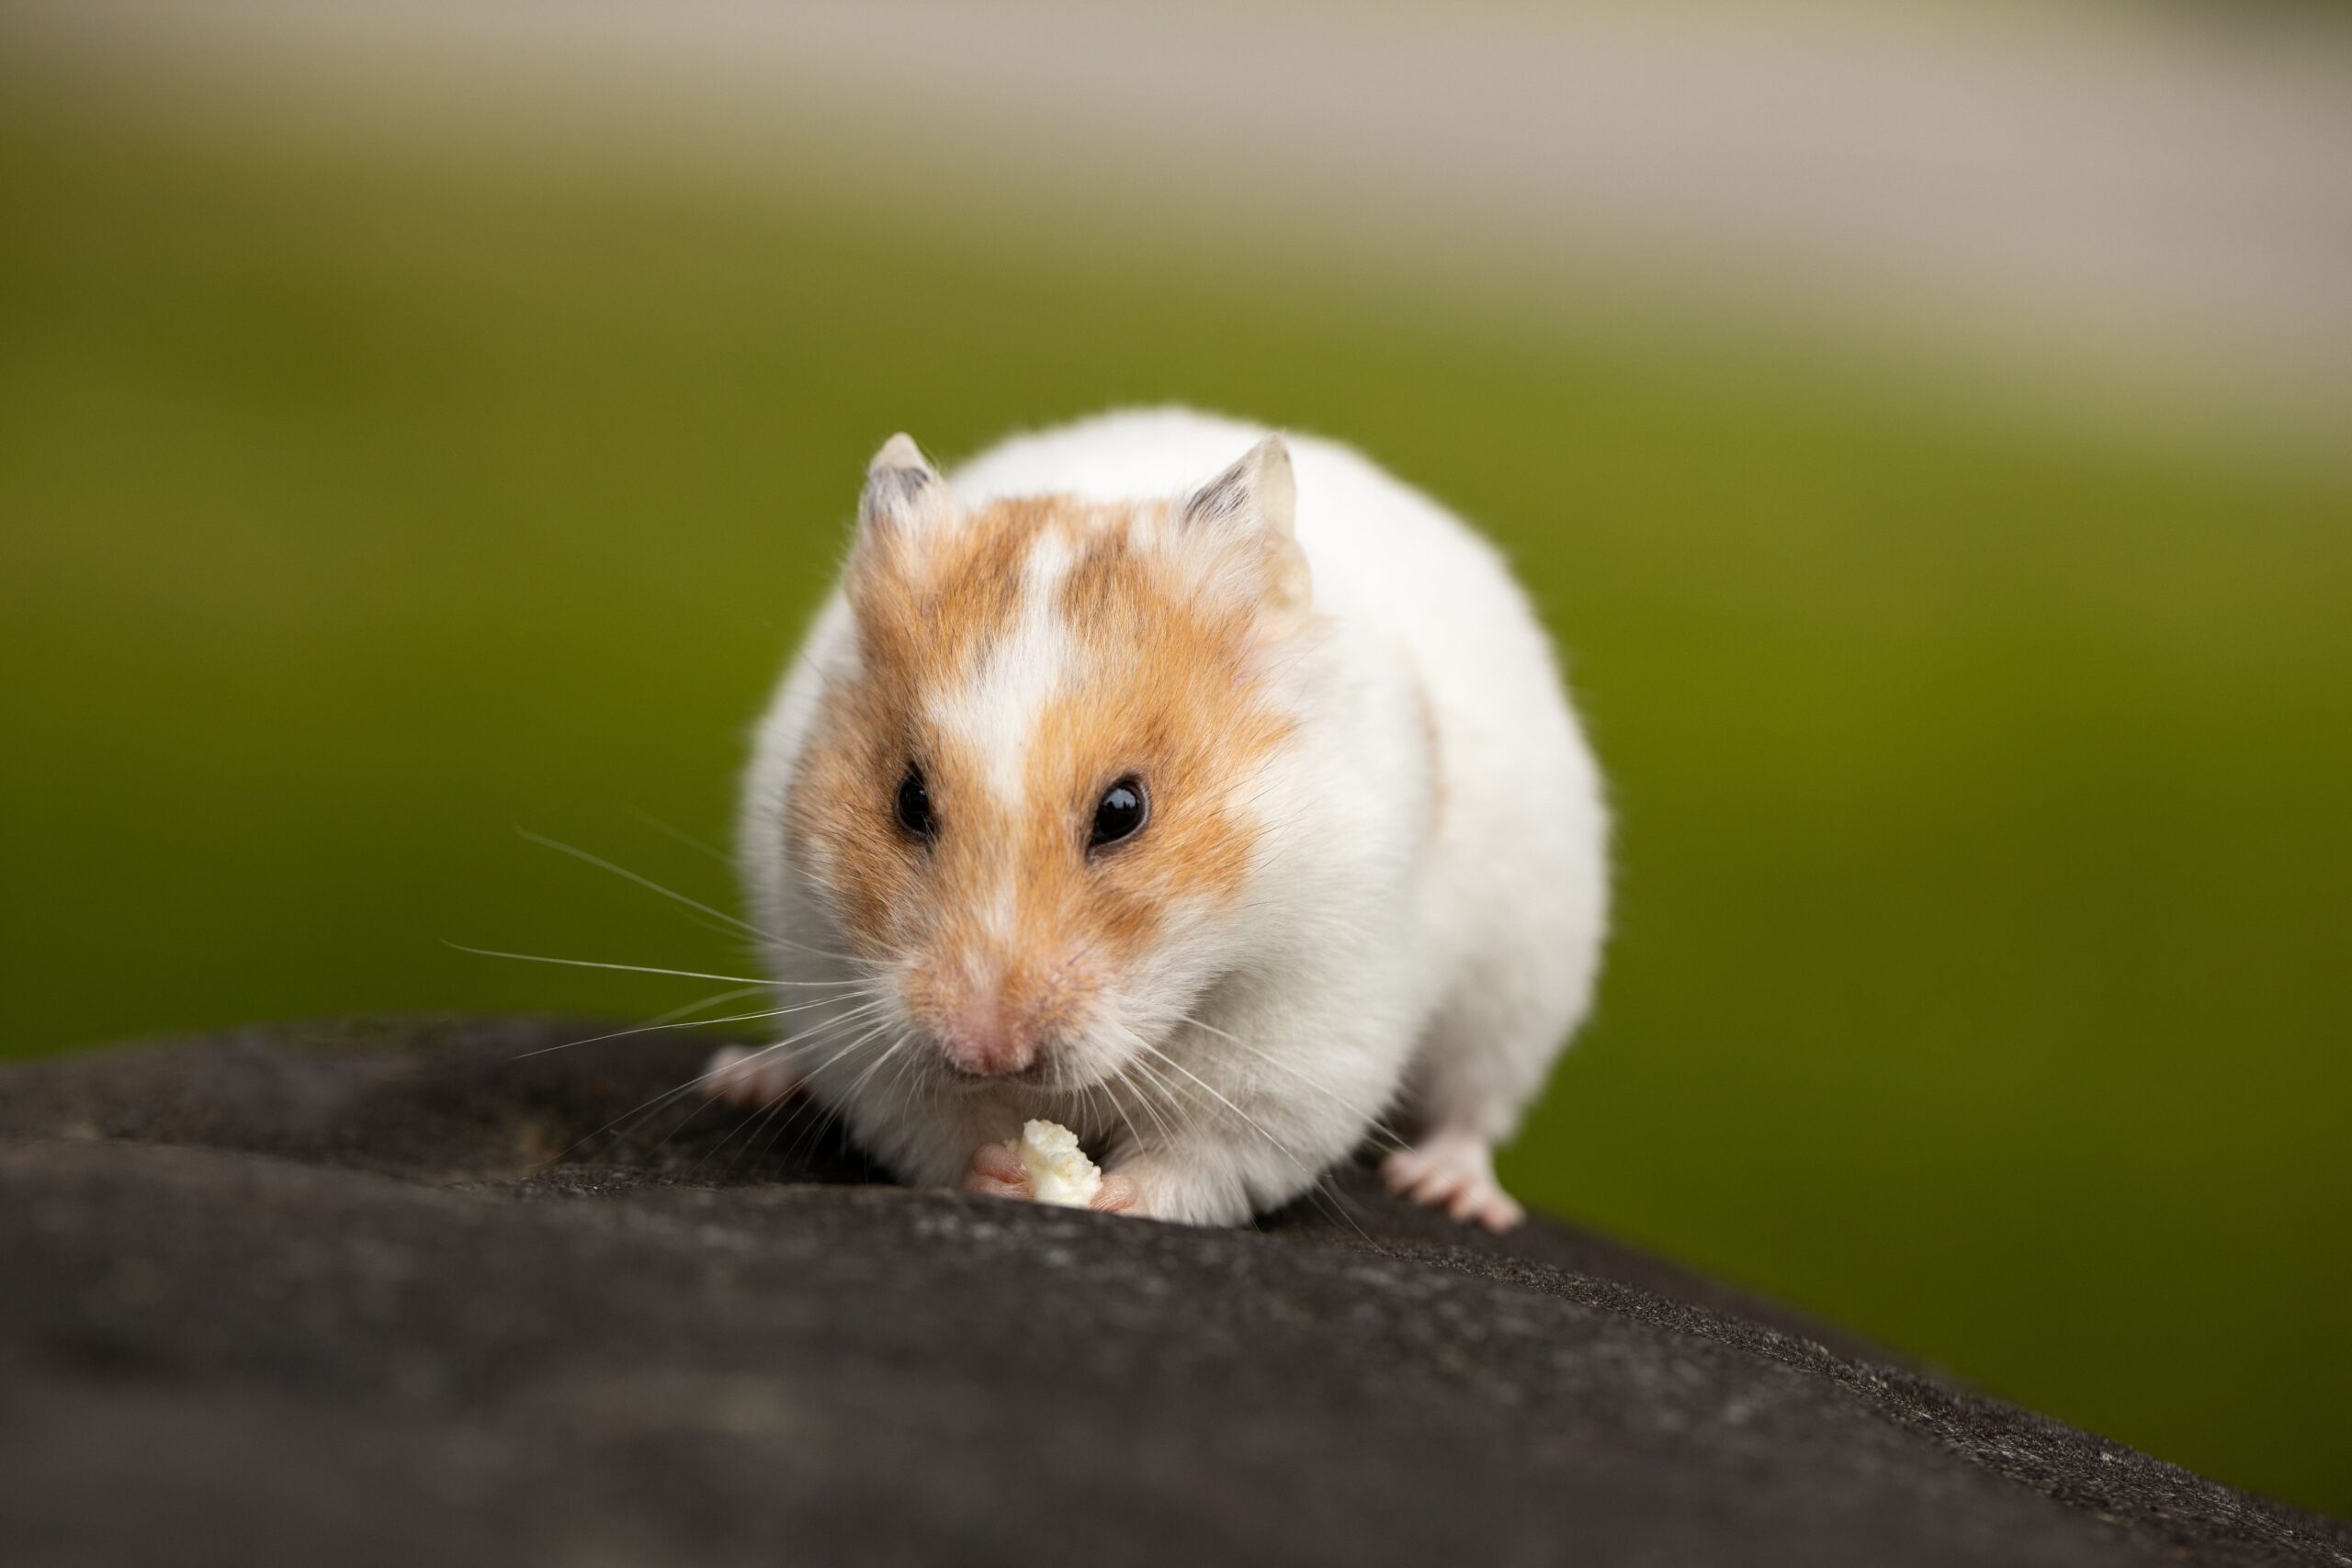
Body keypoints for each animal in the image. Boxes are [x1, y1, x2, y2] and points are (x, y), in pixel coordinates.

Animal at [714, 408, 1608, 1230]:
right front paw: (1005, 1171)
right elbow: (936, 1128)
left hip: (1525, 983)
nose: (989, 1050)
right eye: (909, 800)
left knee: (1475, 1105)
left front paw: (1109, 1196)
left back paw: (1452, 1191)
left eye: (1123, 810)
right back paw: (748, 1077)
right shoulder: (850, 1006)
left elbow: (1202, 1156)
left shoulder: (1302, 1042)